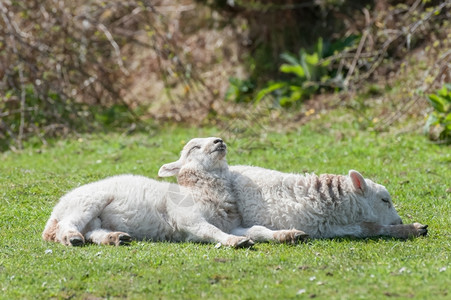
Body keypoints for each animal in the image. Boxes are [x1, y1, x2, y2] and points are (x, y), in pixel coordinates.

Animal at [42, 137, 308, 247]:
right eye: (193, 148)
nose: (219, 141)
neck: (201, 192)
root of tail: (55, 211)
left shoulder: (231, 224)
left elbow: (259, 230)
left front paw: (288, 234)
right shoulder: (187, 219)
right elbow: (210, 231)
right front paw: (236, 242)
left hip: (95, 217)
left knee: (93, 232)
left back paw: (115, 238)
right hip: (86, 203)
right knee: (68, 225)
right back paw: (72, 238)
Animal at [231, 164, 430, 239]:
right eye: (384, 200)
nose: (399, 221)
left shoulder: (327, 227)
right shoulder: (319, 227)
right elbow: (369, 228)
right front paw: (412, 229)